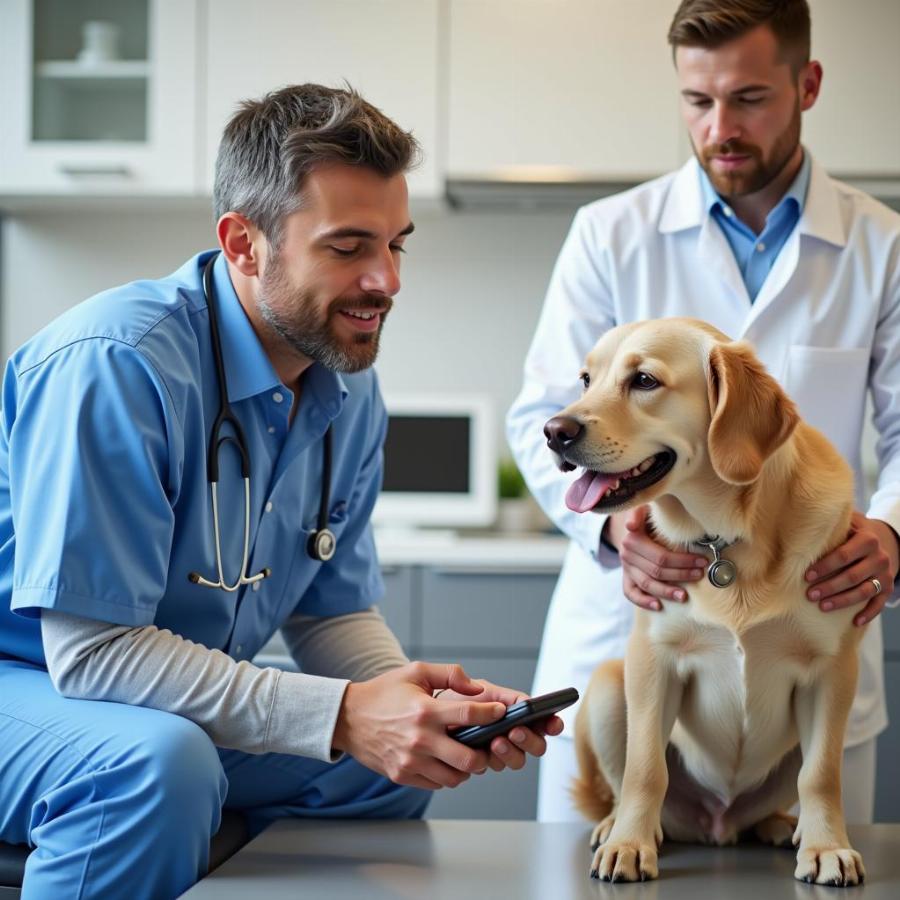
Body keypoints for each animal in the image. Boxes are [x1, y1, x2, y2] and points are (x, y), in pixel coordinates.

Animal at [544, 318, 868, 884]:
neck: (728, 539)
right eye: (585, 379)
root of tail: (717, 825)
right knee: (627, 787)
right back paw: (619, 827)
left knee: (784, 793)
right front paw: (629, 844)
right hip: (607, 686)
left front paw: (827, 847)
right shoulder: (654, 661)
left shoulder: (831, 671)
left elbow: (821, 776)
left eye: (644, 380)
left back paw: (782, 825)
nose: (553, 431)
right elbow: (645, 769)